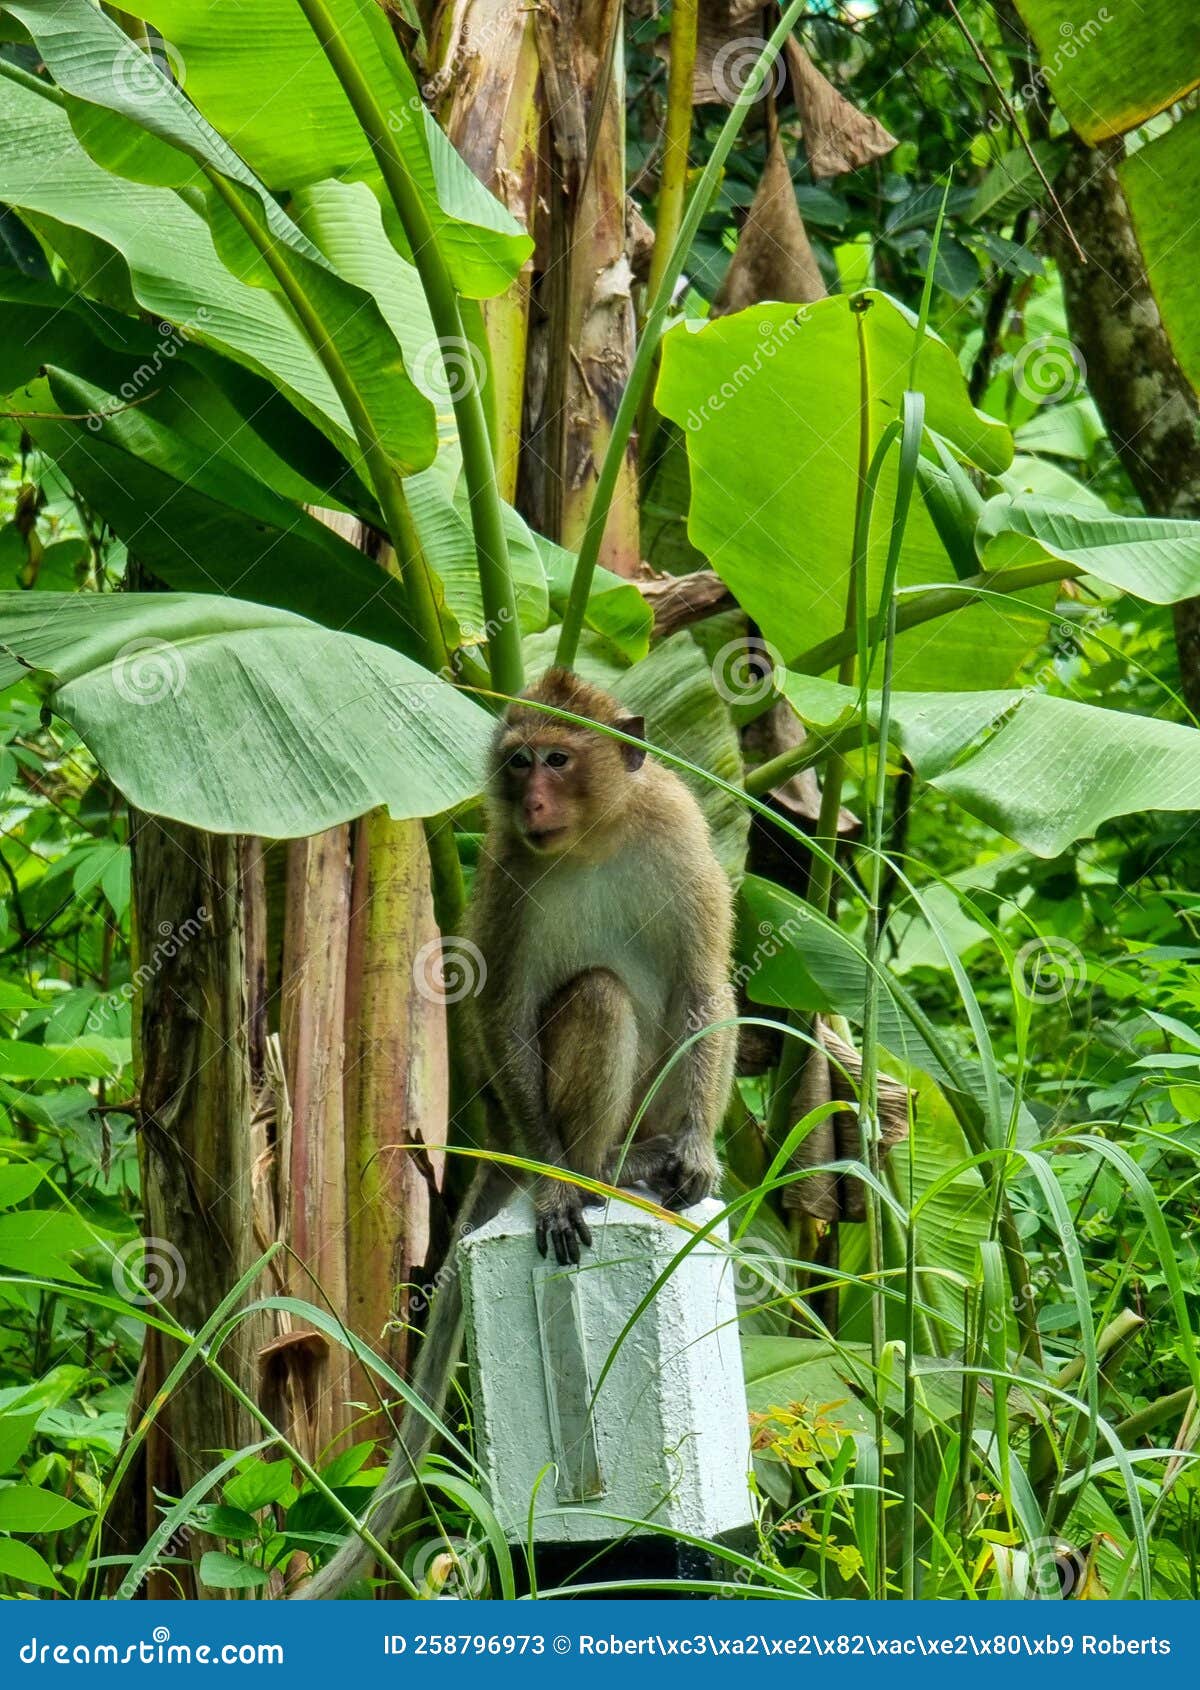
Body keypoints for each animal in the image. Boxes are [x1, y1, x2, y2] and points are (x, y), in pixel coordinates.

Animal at [295, 668, 736, 1598]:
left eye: (559, 759)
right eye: (518, 760)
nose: (531, 797)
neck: (593, 838)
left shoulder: (678, 829)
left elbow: (703, 984)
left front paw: (699, 1153)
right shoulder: (504, 865)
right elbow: (501, 1014)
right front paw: (558, 1198)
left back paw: (649, 1158)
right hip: (521, 1113)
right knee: (598, 996)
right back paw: (587, 1172)